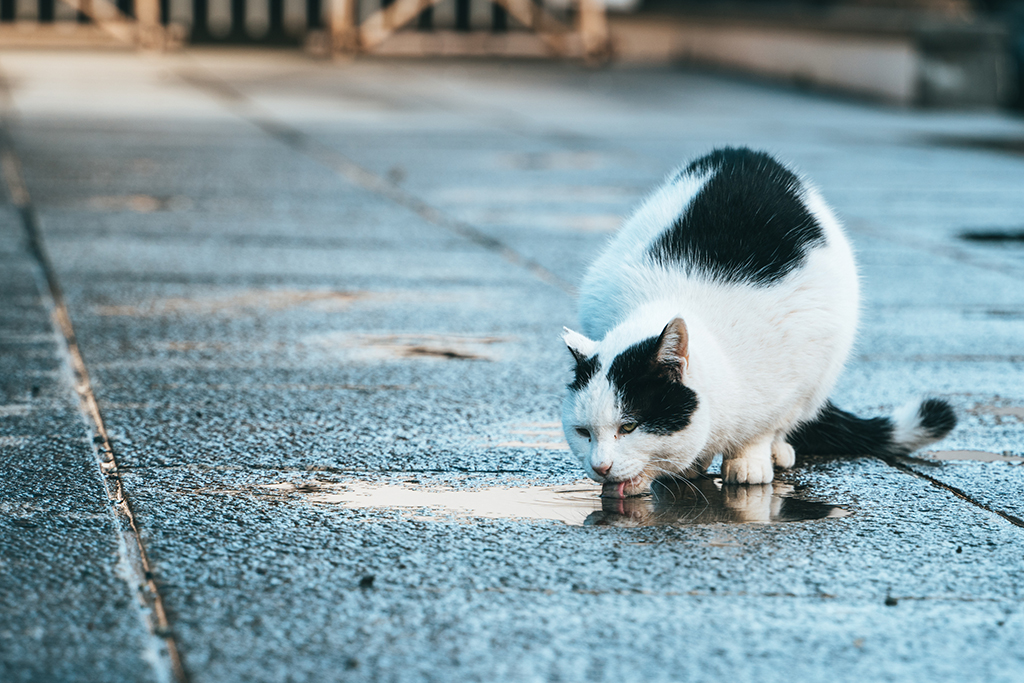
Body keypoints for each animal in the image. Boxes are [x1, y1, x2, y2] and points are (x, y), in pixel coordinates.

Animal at [561, 147, 950, 499]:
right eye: (583, 432)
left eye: (629, 426)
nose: (600, 467)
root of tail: (743, 153)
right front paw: (691, 464)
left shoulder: (795, 368)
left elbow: (764, 426)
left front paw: (749, 460)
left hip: (828, 358)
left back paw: (778, 451)